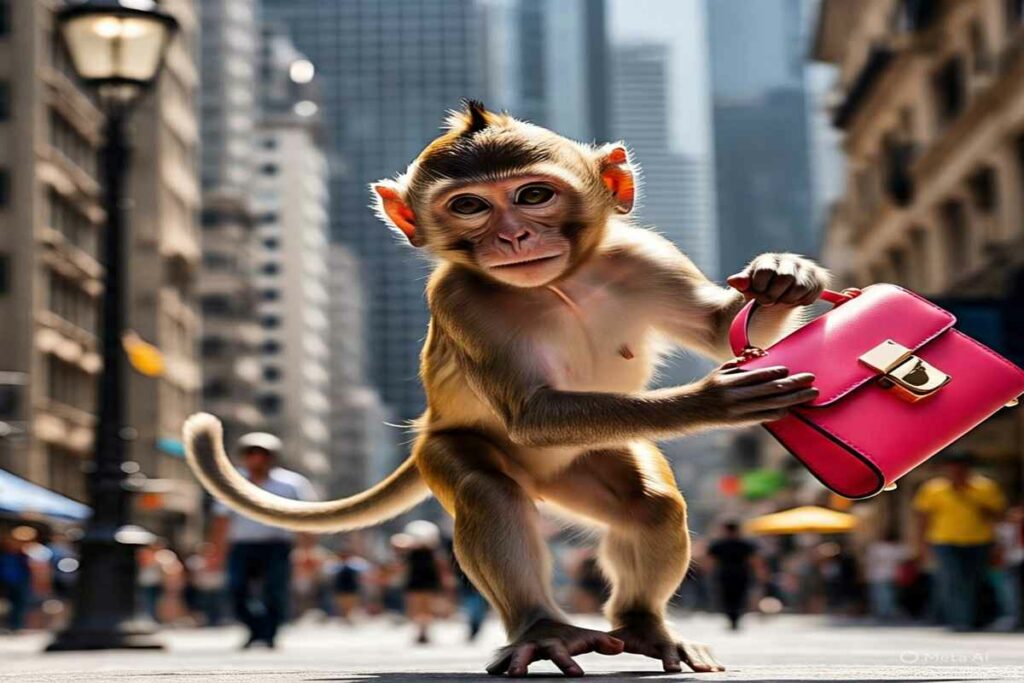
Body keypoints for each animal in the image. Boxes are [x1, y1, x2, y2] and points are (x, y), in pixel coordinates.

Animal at [183, 100, 827, 677]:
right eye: (469, 205)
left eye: (533, 196)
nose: (514, 237)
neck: (559, 284)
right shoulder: (459, 301)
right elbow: (530, 413)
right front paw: (712, 400)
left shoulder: (646, 257)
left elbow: (718, 328)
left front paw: (783, 278)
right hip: (446, 446)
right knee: (490, 492)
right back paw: (541, 629)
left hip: (584, 460)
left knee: (649, 505)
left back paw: (643, 625)